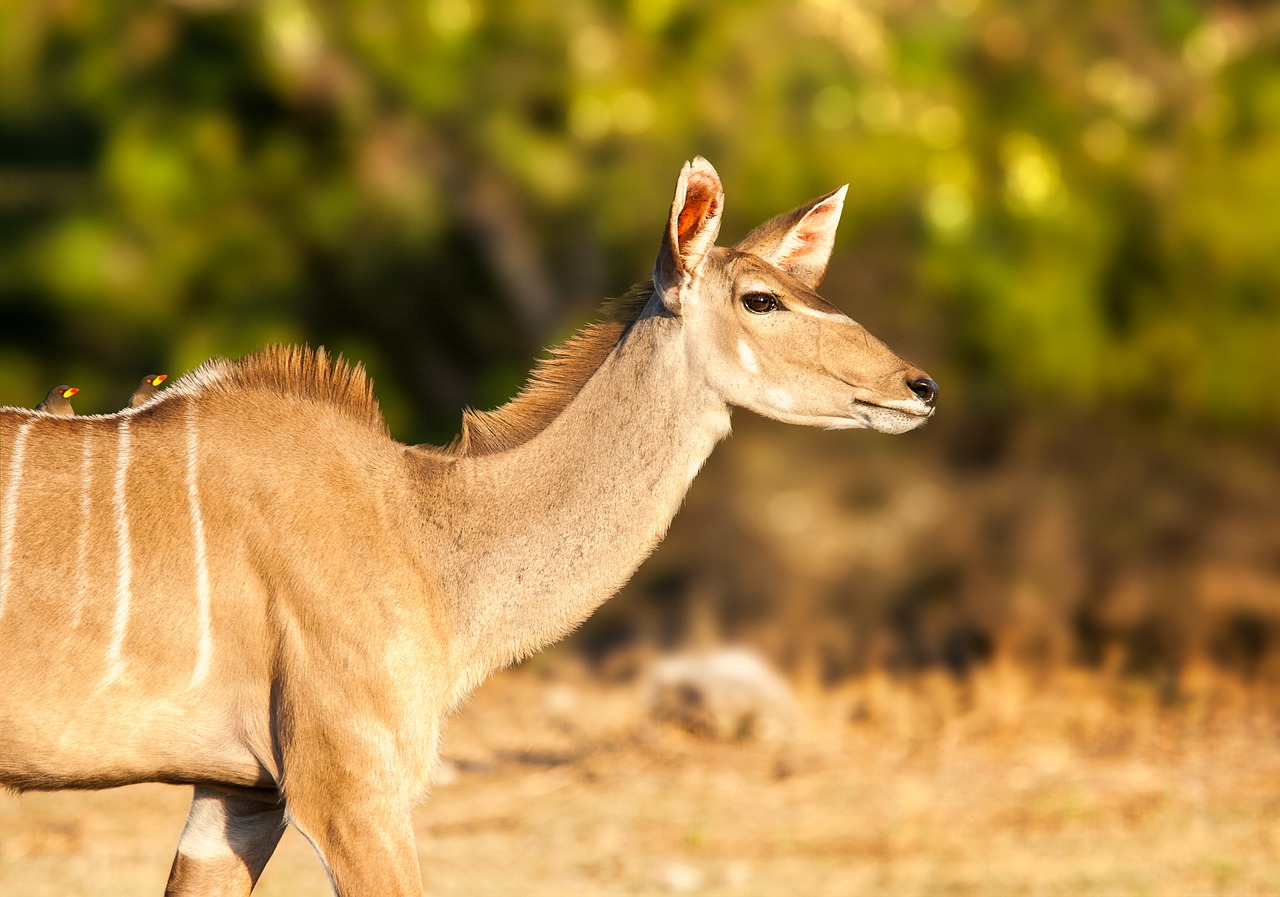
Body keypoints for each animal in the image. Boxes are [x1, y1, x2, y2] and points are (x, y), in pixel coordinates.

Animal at [2, 157, 942, 890]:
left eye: (806, 287)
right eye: (760, 300)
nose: (919, 386)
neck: (422, 525)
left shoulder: (241, 797)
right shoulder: (352, 790)